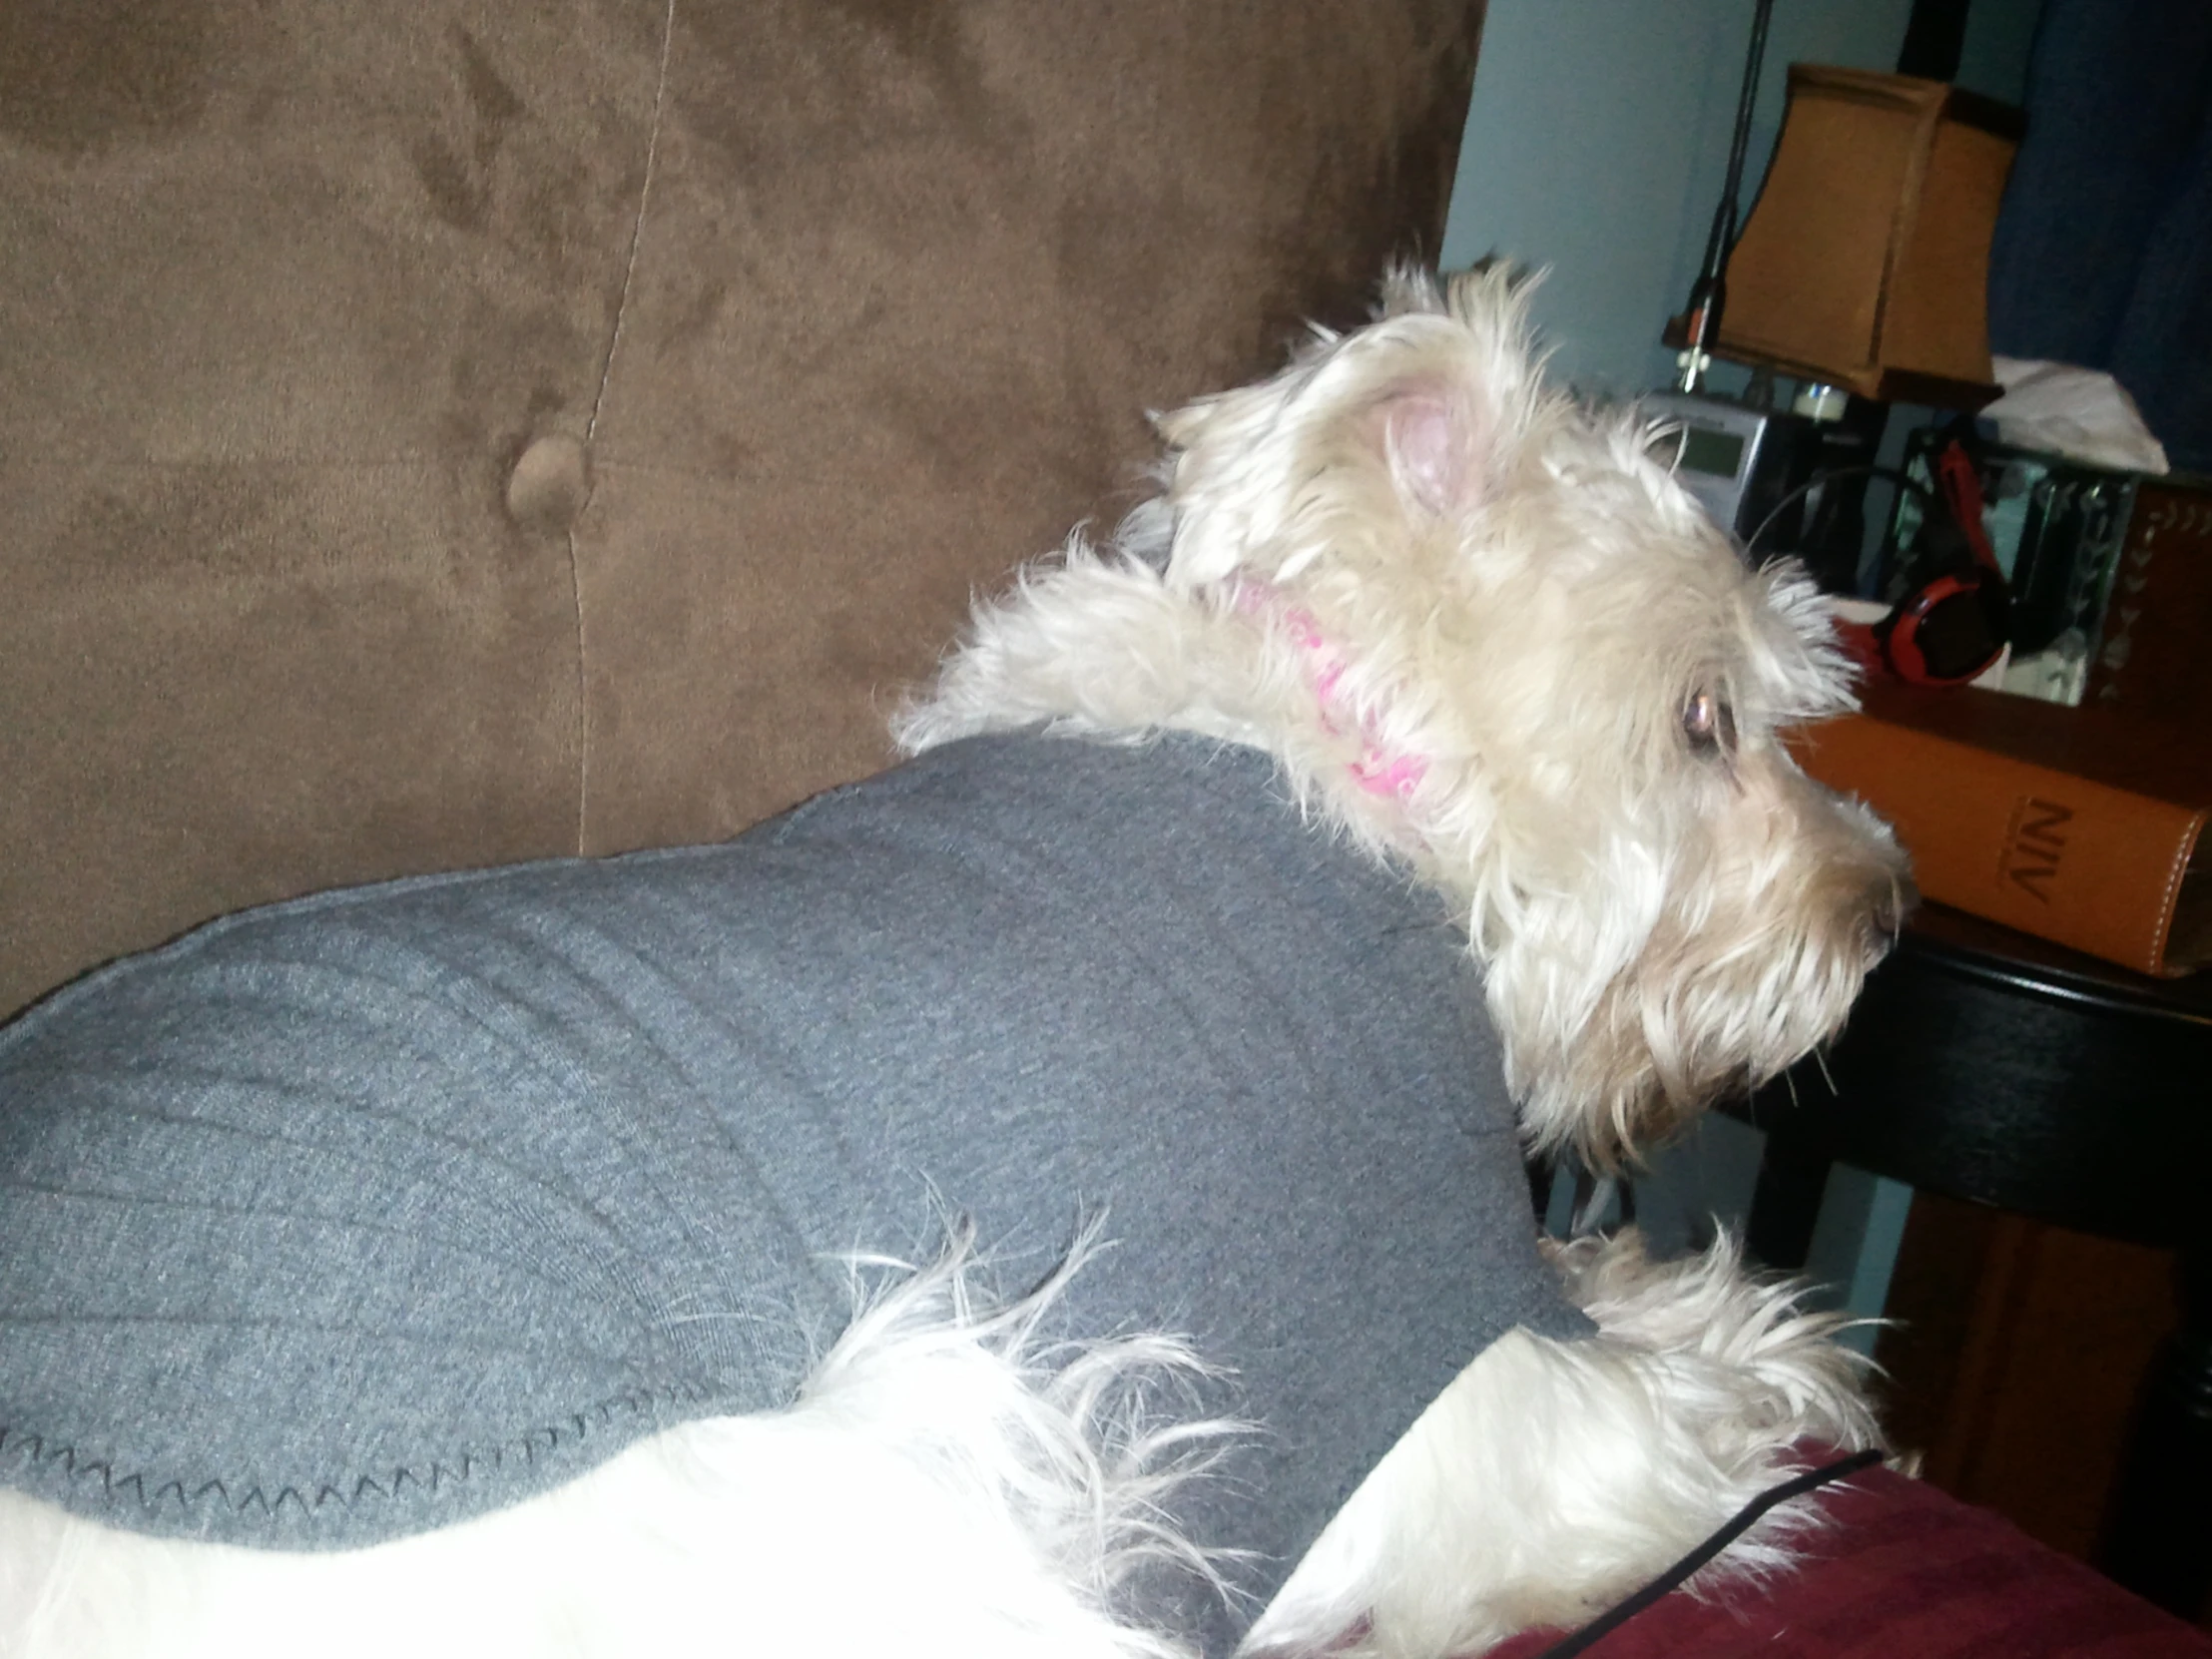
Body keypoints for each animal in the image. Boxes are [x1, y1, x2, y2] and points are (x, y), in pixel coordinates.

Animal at [0, 267, 1902, 1654]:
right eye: (1706, 718)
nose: (1883, 904)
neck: (1350, 762)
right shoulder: (1476, 1420)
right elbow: (1673, 1400)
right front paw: (1782, 1354)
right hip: (901, 1460)